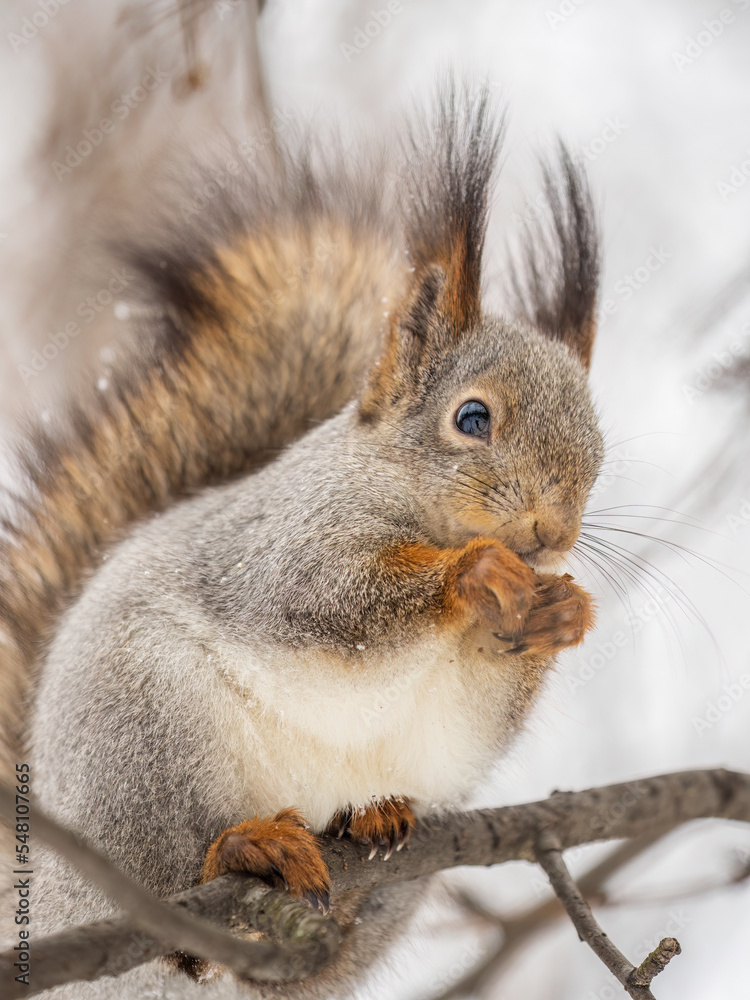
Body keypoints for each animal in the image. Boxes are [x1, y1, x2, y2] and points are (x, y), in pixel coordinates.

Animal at [0, 86, 603, 998]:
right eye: (472, 418)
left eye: (600, 443)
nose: (553, 532)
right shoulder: (288, 542)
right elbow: (330, 603)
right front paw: (473, 572)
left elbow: (485, 692)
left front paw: (561, 612)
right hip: (141, 739)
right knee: (171, 878)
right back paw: (246, 847)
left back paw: (370, 829)